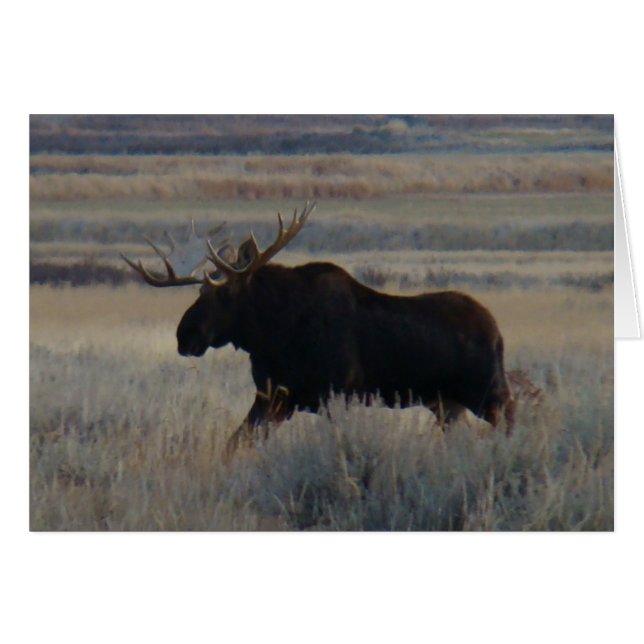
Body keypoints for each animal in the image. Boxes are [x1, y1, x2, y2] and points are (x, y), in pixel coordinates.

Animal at [122, 202, 514, 456]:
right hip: (447, 404)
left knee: (513, 422)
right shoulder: (274, 398)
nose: (185, 336)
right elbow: (235, 444)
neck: (272, 337)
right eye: (200, 291)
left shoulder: (334, 394)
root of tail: (498, 332)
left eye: (225, 292)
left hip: (488, 392)